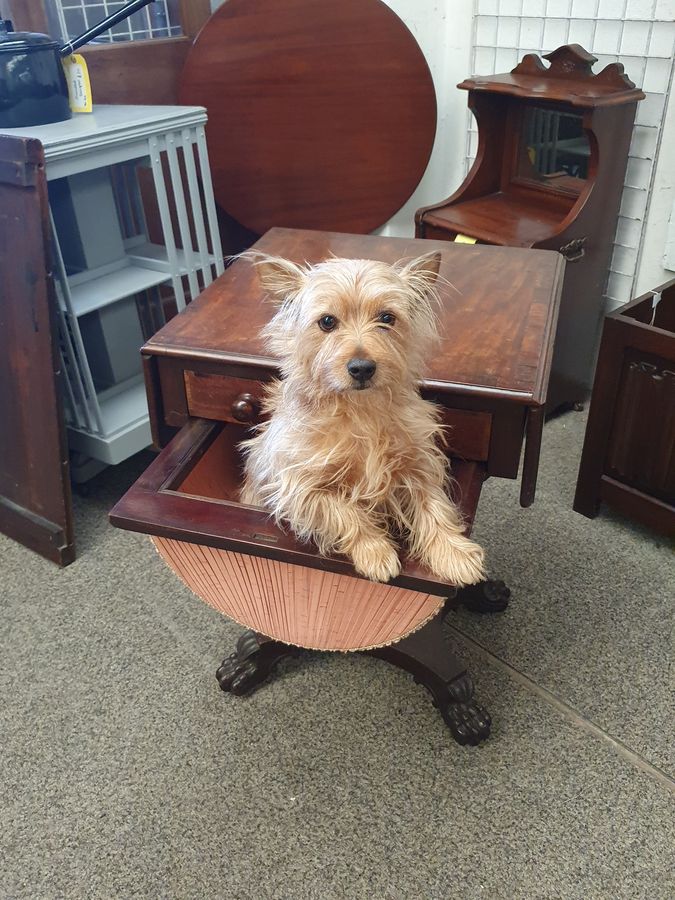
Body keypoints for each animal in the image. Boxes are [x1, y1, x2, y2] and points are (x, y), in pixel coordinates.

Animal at [240, 250, 488, 588]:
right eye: (327, 321)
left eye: (387, 318)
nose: (361, 368)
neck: (361, 411)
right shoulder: (298, 488)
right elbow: (344, 511)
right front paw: (375, 551)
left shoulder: (419, 465)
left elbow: (435, 506)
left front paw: (454, 552)